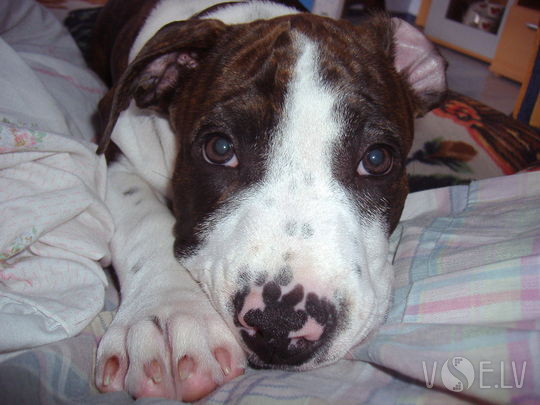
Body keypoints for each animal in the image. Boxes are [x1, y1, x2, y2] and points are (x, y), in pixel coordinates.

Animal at [90, 0, 447, 401]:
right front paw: (168, 314)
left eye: (376, 159)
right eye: (219, 148)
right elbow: (143, 219)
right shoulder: (115, 156)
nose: (280, 324)